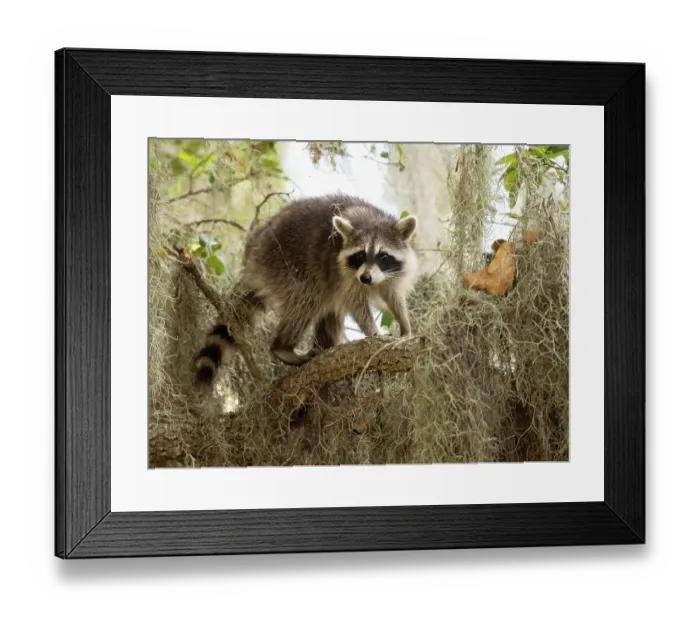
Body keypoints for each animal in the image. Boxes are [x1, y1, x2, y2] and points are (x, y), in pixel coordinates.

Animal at [193, 193, 420, 385]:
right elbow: (355, 303)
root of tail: (251, 257)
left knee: (330, 310)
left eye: (383, 256)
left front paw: (404, 324)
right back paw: (282, 346)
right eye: (360, 256)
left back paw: (325, 346)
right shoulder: (343, 273)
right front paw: (373, 331)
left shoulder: (390, 275)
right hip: (283, 263)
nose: (365, 278)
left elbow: (393, 296)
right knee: (306, 301)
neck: (371, 219)